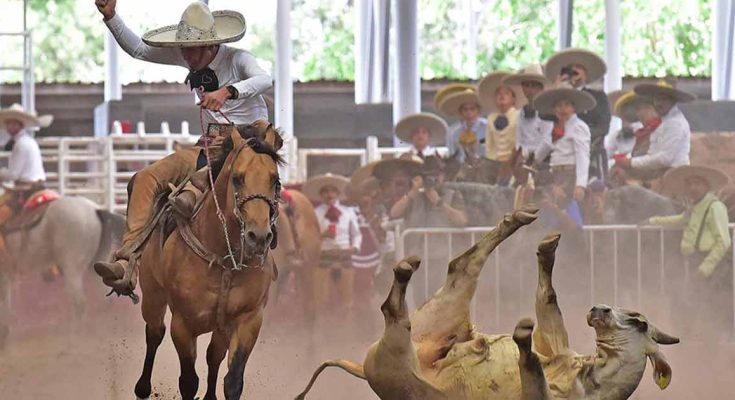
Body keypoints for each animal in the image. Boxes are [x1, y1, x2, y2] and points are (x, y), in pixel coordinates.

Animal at [0, 195, 125, 348]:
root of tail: (95, 210)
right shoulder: (6, 276)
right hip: (96, 266)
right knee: (106, 300)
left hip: (71, 269)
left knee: (79, 303)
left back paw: (72, 342)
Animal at [137, 123, 286, 400]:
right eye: (238, 178)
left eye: (275, 180)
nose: (259, 236)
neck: (224, 258)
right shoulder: (182, 324)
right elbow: (188, 381)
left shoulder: (249, 320)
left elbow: (233, 380)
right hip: (152, 295)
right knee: (154, 333)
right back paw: (142, 388)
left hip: (220, 327)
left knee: (213, 356)